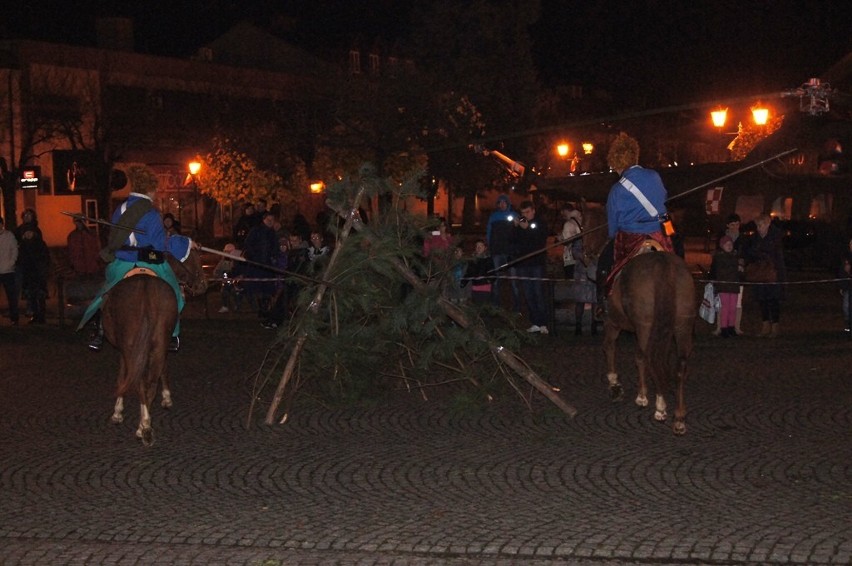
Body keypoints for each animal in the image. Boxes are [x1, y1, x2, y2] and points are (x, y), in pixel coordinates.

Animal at [102, 251, 208, 446]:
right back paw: (145, 426)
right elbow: (163, 369)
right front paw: (166, 398)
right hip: (158, 344)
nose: (202, 285)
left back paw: (143, 427)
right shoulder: (161, 345)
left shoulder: (123, 350)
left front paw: (117, 412)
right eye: (196, 253)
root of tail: (146, 289)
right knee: (150, 383)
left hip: (133, 349)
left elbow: (122, 376)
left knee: (140, 382)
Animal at [584, 202, 696, 438]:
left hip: (645, 326)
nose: (585, 253)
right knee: (678, 365)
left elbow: (610, 348)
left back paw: (655, 403)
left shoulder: (612, 322)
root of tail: (663, 265)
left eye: (586, 225)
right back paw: (679, 418)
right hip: (682, 326)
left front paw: (617, 386)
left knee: (645, 357)